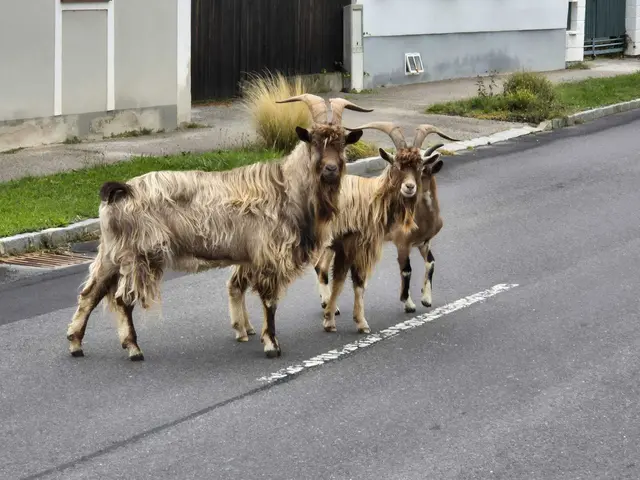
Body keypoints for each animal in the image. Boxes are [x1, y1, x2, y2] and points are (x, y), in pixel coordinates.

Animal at [66, 94, 373, 360]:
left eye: (342, 142)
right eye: (315, 141)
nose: (331, 169)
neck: (287, 188)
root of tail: (121, 191)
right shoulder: (268, 255)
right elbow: (270, 302)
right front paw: (272, 344)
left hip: (111, 253)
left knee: (90, 293)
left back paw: (76, 343)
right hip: (139, 253)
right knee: (122, 299)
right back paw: (133, 348)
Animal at [314, 122, 456, 333]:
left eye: (423, 168)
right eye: (396, 166)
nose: (410, 187)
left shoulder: (423, 242)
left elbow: (431, 263)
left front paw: (426, 298)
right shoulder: (402, 242)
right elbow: (406, 270)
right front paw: (408, 303)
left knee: (321, 266)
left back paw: (329, 307)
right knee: (320, 266)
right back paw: (328, 306)